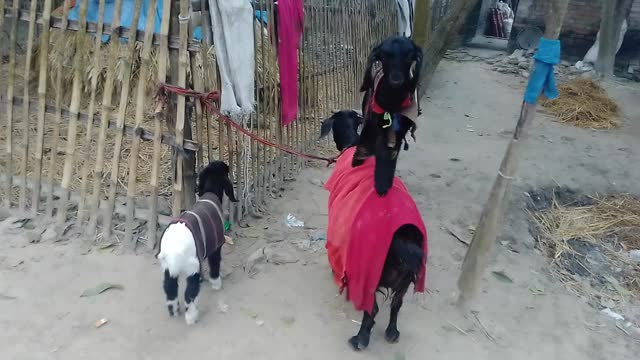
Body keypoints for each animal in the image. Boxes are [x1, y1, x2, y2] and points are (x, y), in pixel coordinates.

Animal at [156, 160, 239, 324]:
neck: (210, 194)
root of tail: (173, 250)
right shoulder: (215, 245)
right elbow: (215, 264)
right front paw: (216, 284)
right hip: (191, 267)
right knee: (190, 293)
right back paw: (191, 317)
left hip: (167, 268)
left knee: (170, 288)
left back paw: (174, 310)